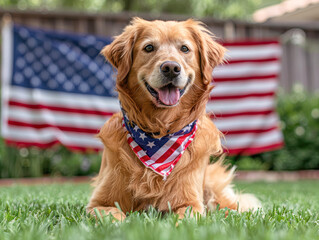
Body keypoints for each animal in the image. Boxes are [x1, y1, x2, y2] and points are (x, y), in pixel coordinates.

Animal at [87, 17, 260, 220]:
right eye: (149, 47)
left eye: (184, 48)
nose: (171, 68)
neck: (161, 130)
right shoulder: (98, 204)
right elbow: (114, 215)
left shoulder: (190, 203)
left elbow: (184, 217)